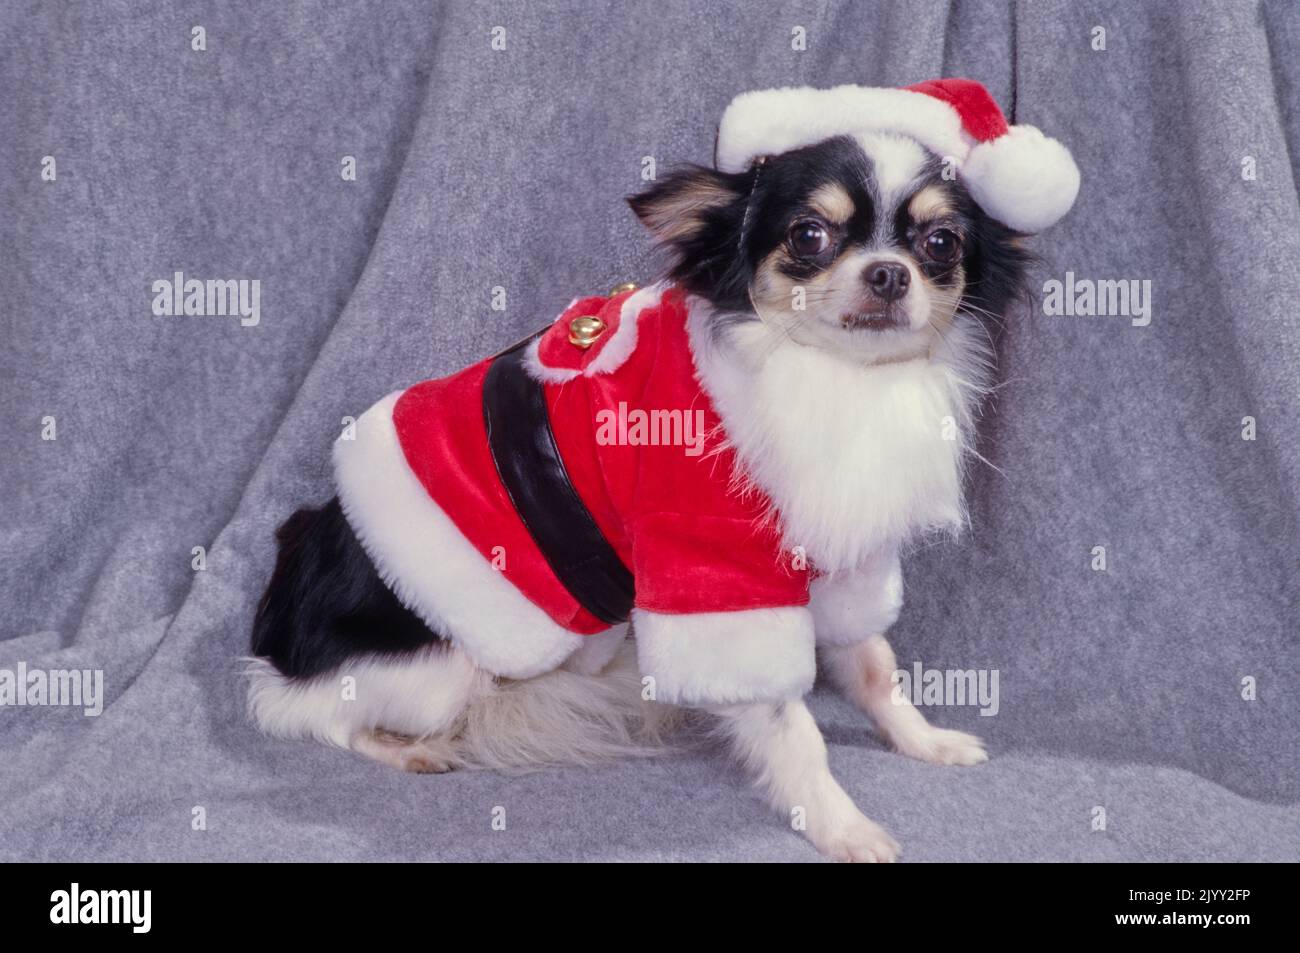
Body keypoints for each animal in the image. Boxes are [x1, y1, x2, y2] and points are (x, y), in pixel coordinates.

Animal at [244, 79, 1076, 863]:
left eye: (940, 243)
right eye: (808, 235)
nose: (889, 274)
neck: (832, 375)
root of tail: (275, 625)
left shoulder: (843, 554)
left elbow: (875, 667)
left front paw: (922, 739)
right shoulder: (713, 571)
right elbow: (791, 724)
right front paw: (840, 822)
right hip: (438, 667)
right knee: (319, 716)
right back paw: (405, 747)